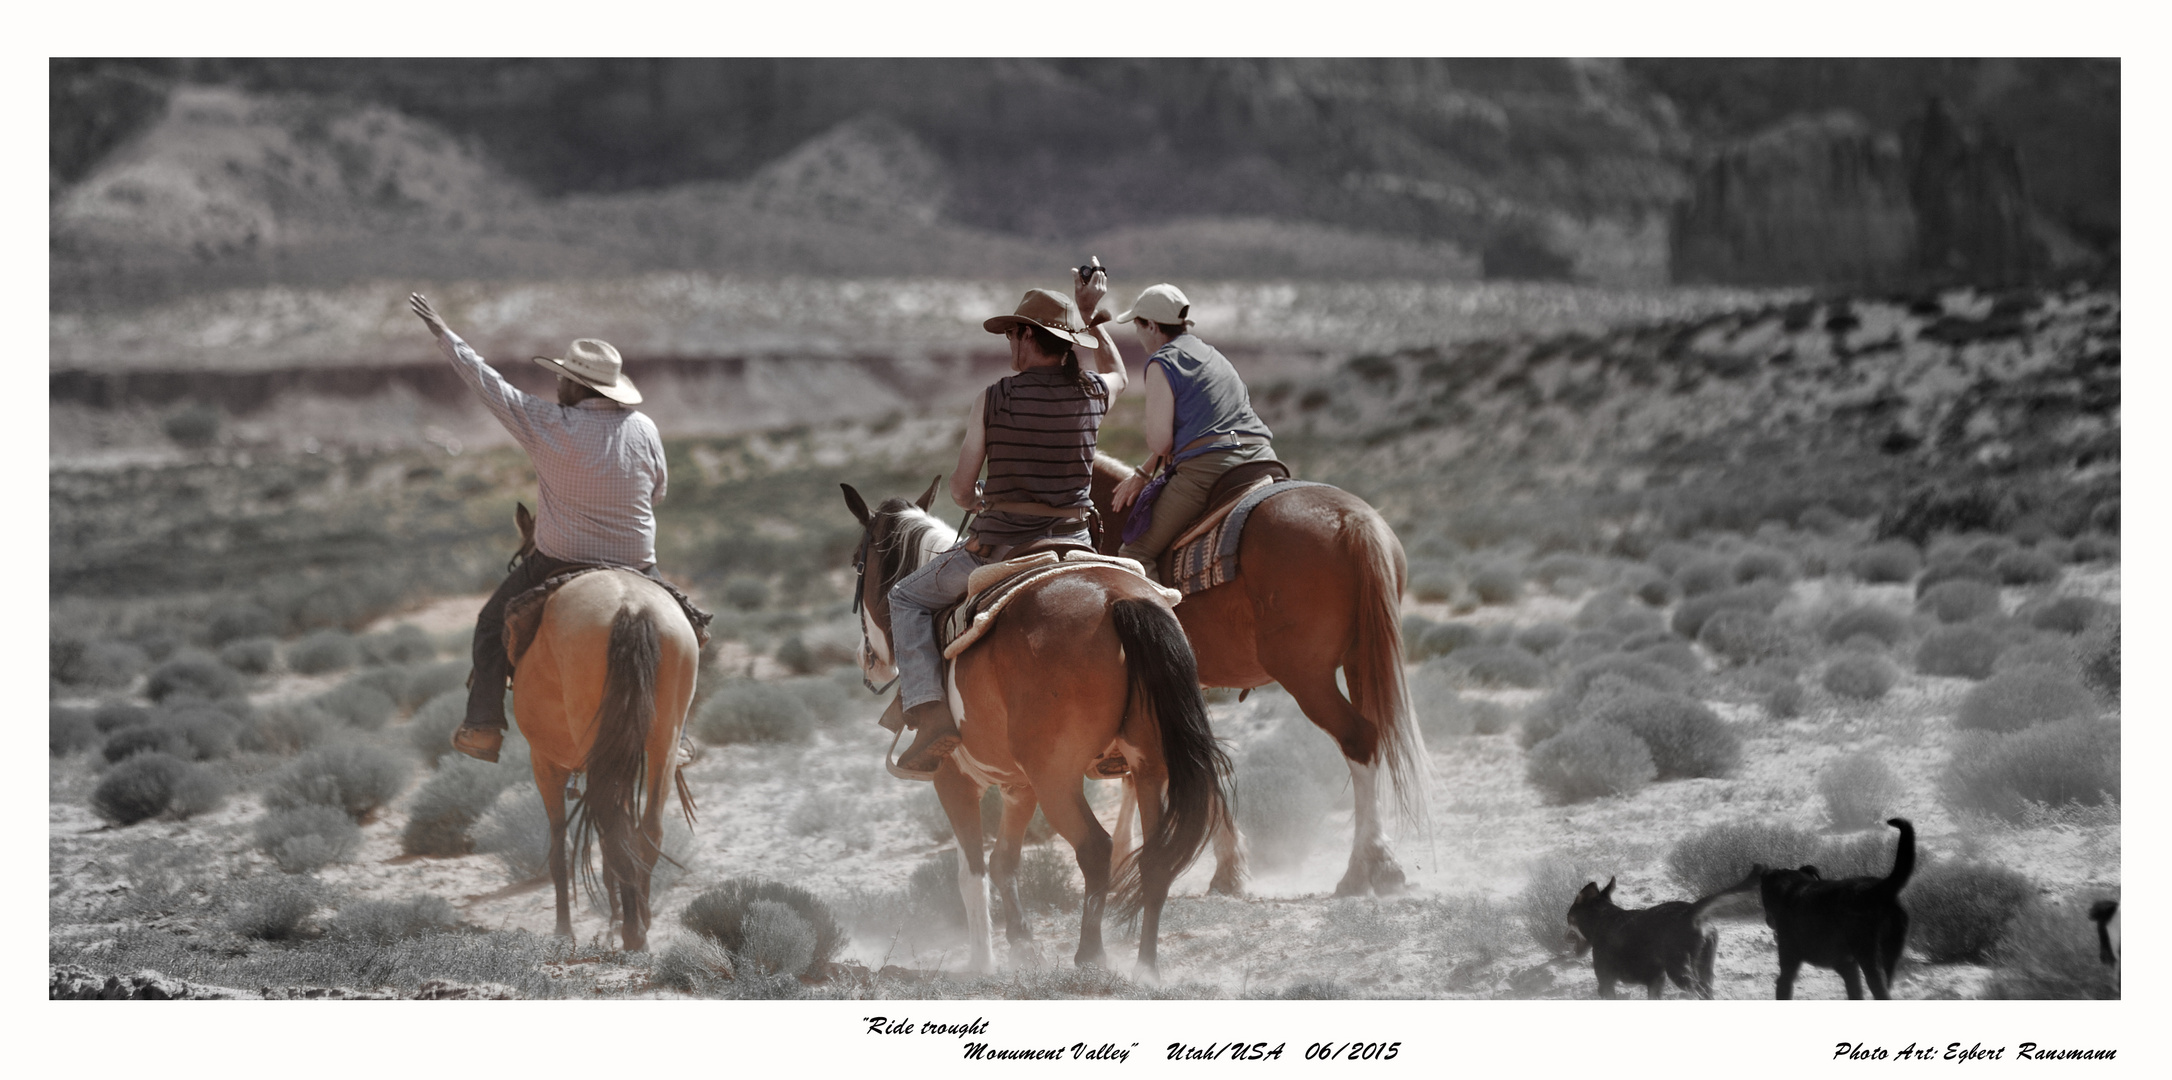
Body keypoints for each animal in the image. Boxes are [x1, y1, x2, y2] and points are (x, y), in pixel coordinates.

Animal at [506, 504, 695, 943]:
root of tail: (631, 606)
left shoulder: (544, 762)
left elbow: (558, 846)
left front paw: (563, 930)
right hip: (660, 742)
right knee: (646, 827)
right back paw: (639, 922)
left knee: (612, 826)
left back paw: (631, 931)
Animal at [838, 478, 1233, 977]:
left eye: (858, 561)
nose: (866, 660)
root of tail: (1119, 600)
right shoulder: (1017, 787)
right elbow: (1004, 861)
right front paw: (1022, 945)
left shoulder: (954, 779)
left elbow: (972, 873)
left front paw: (982, 962)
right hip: (1149, 767)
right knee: (1157, 858)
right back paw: (1147, 967)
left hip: (1057, 779)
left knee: (1096, 848)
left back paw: (1091, 955)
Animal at [1086, 449, 1424, 895]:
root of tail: (1353, 520)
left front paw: (1224, 868)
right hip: (1360, 661)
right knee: (1375, 735)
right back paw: (1382, 866)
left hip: (1307, 678)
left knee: (1359, 738)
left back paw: (1363, 869)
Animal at [1563, 869, 1763, 995]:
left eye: (1568, 918)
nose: (1564, 936)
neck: (1604, 918)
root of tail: (1690, 911)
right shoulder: (1655, 981)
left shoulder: (1606, 984)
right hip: (1703, 969)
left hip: (1679, 971)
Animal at [1746, 817, 1920, 1003]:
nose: (1768, 920)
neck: (1790, 887)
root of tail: (1880, 889)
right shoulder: (1848, 967)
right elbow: (1855, 993)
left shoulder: (1789, 961)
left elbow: (1783, 986)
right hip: (1890, 956)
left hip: (1869, 957)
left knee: (1880, 990)